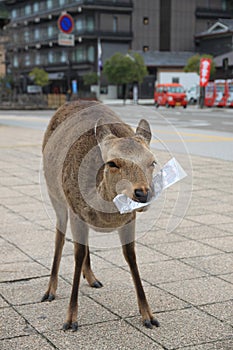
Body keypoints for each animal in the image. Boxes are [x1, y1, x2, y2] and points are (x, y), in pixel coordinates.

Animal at [41, 98, 159, 330]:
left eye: (152, 161)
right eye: (112, 163)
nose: (142, 193)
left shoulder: (129, 219)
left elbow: (131, 256)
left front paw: (149, 316)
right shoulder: (75, 211)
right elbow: (76, 254)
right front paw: (70, 319)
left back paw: (92, 277)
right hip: (55, 196)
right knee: (59, 236)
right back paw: (50, 290)